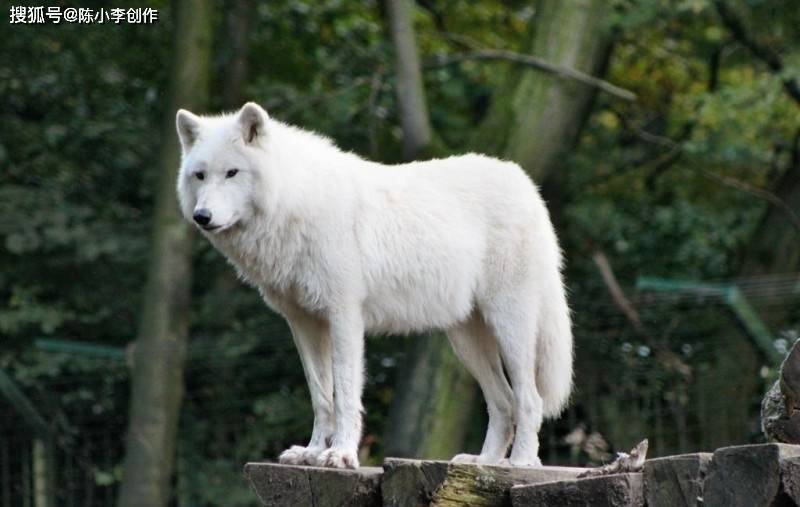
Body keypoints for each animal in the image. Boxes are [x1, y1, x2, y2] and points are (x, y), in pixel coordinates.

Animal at [178, 101, 572, 470]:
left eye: (232, 173)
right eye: (200, 175)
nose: (202, 217)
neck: (295, 202)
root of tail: (525, 184)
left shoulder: (344, 316)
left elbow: (345, 394)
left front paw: (340, 454)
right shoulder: (303, 323)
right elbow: (321, 396)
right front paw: (312, 452)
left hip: (510, 327)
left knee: (529, 399)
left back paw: (521, 462)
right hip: (466, 340)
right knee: (503, 403)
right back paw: (483, 463)